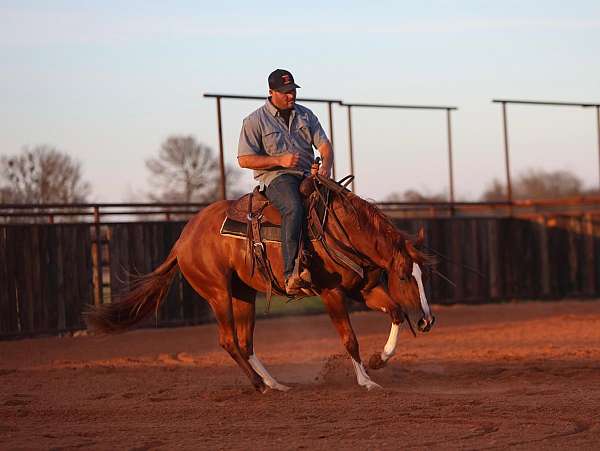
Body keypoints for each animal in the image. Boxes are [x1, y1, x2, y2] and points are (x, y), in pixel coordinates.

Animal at [85, 179, 436, 392]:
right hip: (218, 293)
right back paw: (258, 384)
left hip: (244, 293)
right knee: (229, 340)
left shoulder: (361, 290)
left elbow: (394, 312)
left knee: (246, 342)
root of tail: (183, 240)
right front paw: (365, 381)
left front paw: (380, 359)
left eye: (422, 275)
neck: (340, 229)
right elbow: (349, 339)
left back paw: (275, 383)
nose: (427, 321)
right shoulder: (331, 293)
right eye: (403, 274)